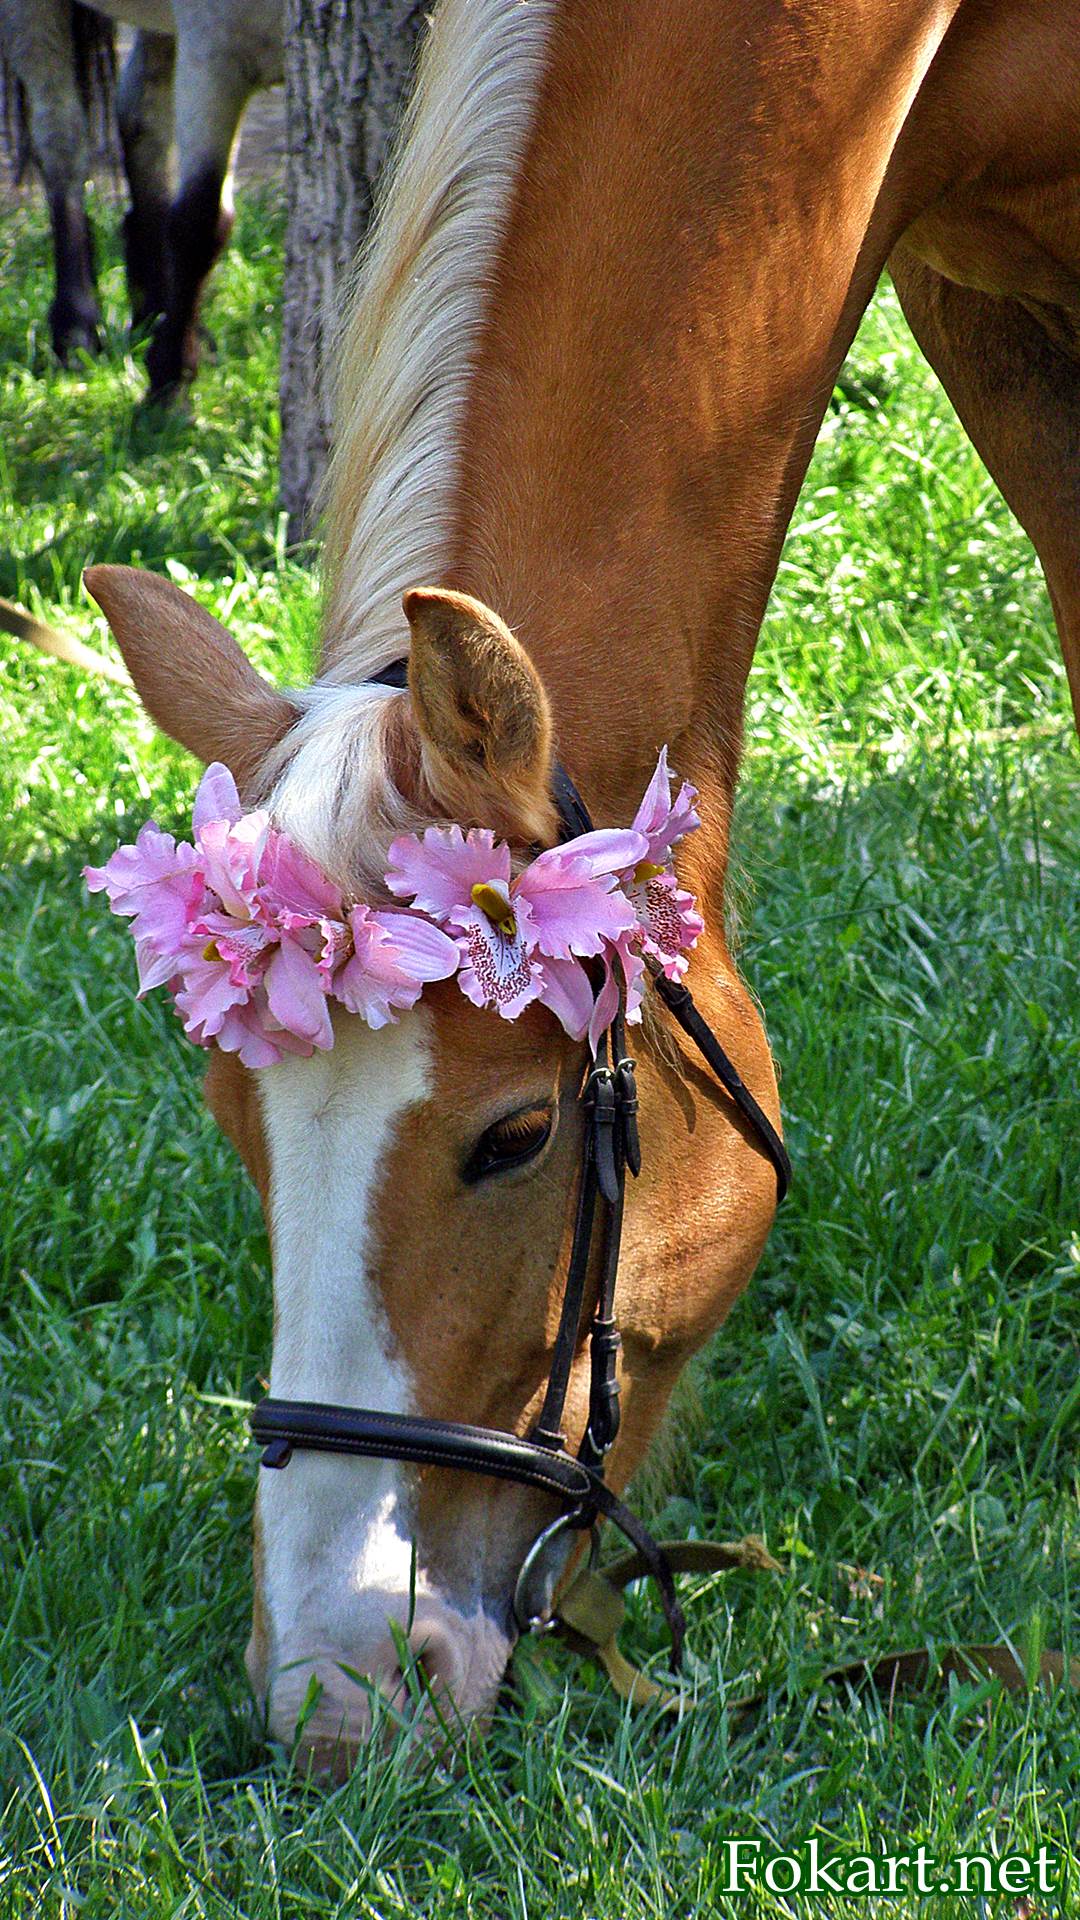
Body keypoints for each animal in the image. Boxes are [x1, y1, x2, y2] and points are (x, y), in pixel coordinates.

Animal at [0, 0, 280, 393]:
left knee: (140, 118)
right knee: (61, 141)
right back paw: (75, 332)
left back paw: (156, 312)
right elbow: (200, 223)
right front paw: (169, 380)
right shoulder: (215, 57)